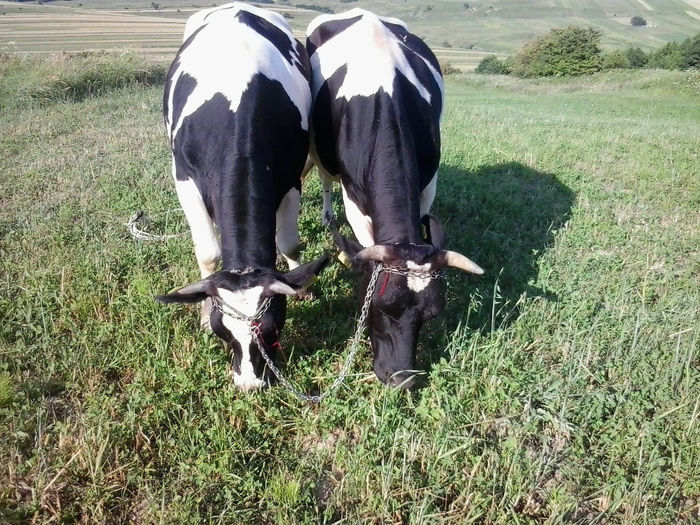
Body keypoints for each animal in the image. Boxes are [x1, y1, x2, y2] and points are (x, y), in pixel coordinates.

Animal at [157, 3, 329, 391]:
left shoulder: (290, 178)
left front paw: (302, 286)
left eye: (272, 327)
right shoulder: (184, 178)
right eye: (223, 332)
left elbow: (289, 243)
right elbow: (208, 254)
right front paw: (203, 310)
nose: (250, 382)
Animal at [305, 9, 483, 388]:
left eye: (431, 314)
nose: (401, 380)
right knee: (325, 178)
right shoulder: (354, 199)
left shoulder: (427, 186)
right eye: (377, 306)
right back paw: (327, 216)